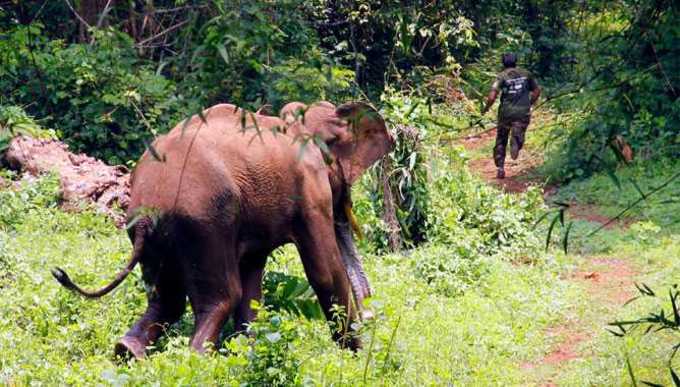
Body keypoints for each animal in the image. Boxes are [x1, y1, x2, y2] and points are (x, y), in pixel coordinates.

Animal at [53, 101, 394, 360]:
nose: (371, 318)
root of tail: (150, 207)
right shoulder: (310, 191)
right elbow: (324, 272)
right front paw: (355, 355)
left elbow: (253, 279)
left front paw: (251, 352)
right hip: (205, 222)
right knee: (222, 295)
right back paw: (198, 359)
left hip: (154, 231)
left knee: (167, 299)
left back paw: (127, 351)